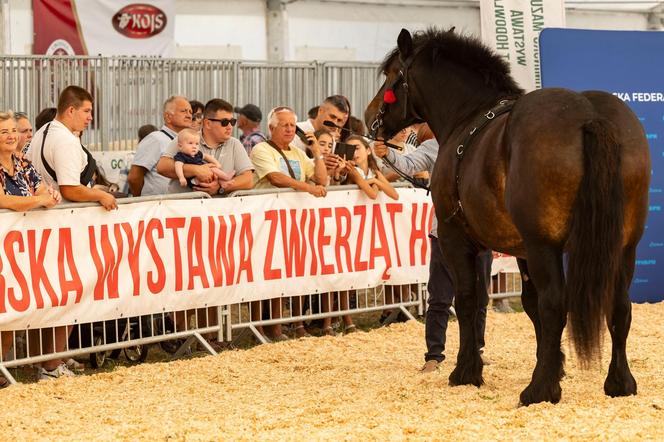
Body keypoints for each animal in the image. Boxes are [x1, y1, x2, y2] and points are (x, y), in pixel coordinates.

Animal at [364, 29, 648, 406]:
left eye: (392, 74)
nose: (370, 116)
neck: (467, 116)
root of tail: (589, 115)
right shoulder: (523, 249)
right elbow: (529, 304)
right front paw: (555, 366)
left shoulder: (457, 238)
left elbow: (468, 300)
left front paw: (466, 372)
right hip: (624, 245)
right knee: (618, 305)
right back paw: (619, 382)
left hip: (545, 246)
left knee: (556, 303)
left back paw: (539, 390)